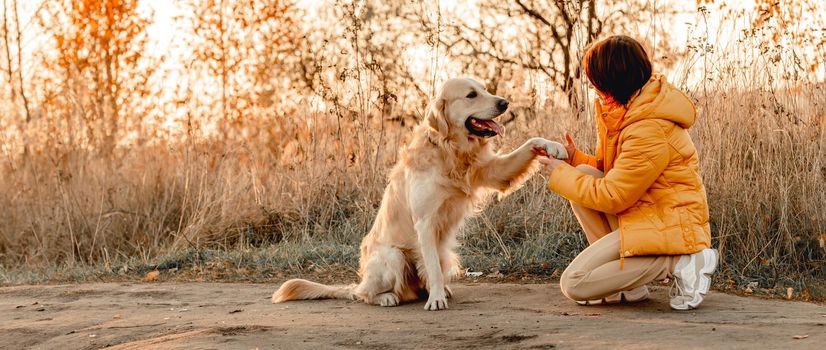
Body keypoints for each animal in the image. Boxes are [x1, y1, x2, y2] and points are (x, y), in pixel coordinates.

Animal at [272, 78, 568, 310]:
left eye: (485, 89)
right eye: (471, 95)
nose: (505, 103)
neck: (448, 150)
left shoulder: (493, 171)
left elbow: (530, 143)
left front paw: (552, 146)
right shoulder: (425, 222)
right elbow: (433, 269)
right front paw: (436, 299)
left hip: (447, 253)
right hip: (393, 256)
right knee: (363, 293)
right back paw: (387, 297)